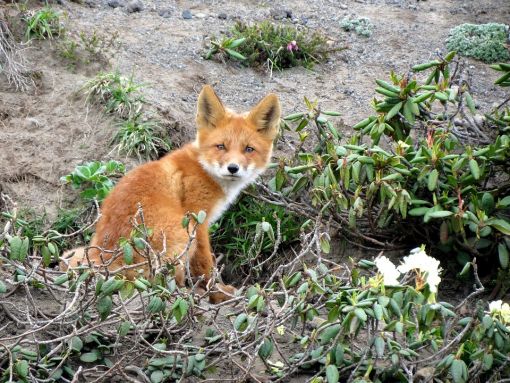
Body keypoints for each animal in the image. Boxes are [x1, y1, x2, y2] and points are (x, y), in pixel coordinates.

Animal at [62, 85, 282, 304]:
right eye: (221, 146)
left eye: (249, 149)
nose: (233, 168)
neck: (203, 168)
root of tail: (108, 257)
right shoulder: (197, 220)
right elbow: (205, 263)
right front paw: (216, 292)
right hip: (182, 233)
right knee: (163, 282)